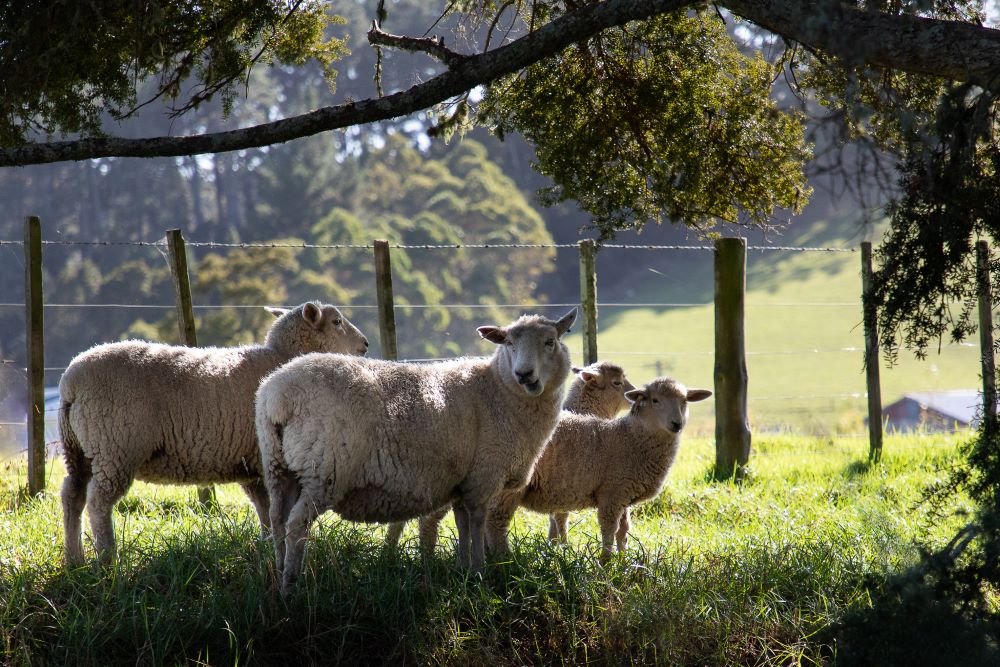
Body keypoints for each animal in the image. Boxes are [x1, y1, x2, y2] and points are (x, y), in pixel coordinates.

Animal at [56, 300, 368, 568]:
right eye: (336, 321)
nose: (365, 345)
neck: (281, 358)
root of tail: (71, 382)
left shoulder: (249, 462)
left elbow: (262, 505)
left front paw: (265, 542)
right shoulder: (266, 457)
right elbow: (272, 506)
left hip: (79, 449)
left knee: (72, 494)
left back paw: (75, 559)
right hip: (115, 447)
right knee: (98, 501)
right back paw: (108, 559)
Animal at [254, 310, 576, 592]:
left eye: (550, 341)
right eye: (509, 343)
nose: (524, 374)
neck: (499, 390)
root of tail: (278, 395)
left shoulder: (462, 482)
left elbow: (462, 525)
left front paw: (463, 572)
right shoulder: (482, 478)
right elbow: (476, 523)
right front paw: (479, 573)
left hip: (278, 464)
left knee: (277, 518)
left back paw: (279, 571)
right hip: (325, 468)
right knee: (297, 523)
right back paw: (291, 585)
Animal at [394, 362, 636, 556]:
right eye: (617, 382)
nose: (633, 397)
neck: (582, 412)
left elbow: (556, 518)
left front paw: (554, 546)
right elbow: (564, 517)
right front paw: (564, 547)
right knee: (429, 519)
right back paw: (427, 554)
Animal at [484, 376, 712, 560]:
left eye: (684, 401)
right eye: (655, 400)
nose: (677, 424)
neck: (631, 438)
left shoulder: (624, 493)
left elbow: (623, 530)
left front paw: (624, 559)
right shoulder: (611, 493)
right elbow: (609, 528)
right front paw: (606, 562)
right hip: (508, 484)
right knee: (496, 522)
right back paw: (503, 560)